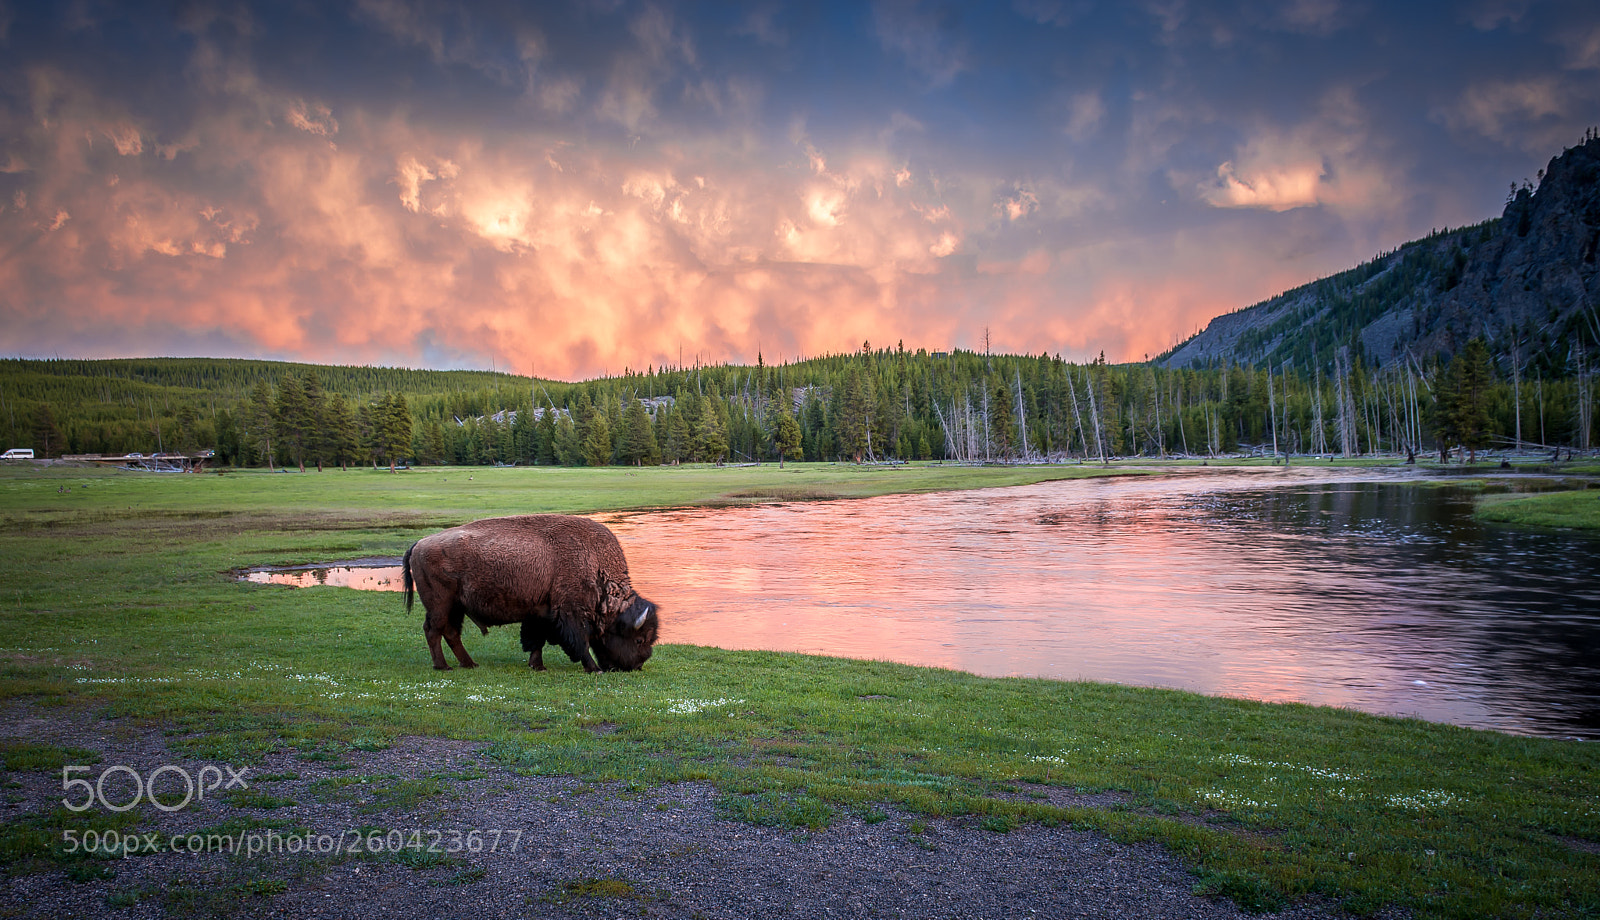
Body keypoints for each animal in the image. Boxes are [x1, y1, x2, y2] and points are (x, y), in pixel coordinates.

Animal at [402, 514, 659, 673]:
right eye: (639, 639)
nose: (638, 665)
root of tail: (419, 544)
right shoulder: (570, 613)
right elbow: (580, 642)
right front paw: (594, 669)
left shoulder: (541, 612)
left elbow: (536, 640)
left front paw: (538, 666)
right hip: (440, 604)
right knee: (434, 630)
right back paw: (443, 666)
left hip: (457, 607)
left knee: (451, 633)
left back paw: (469, 664)